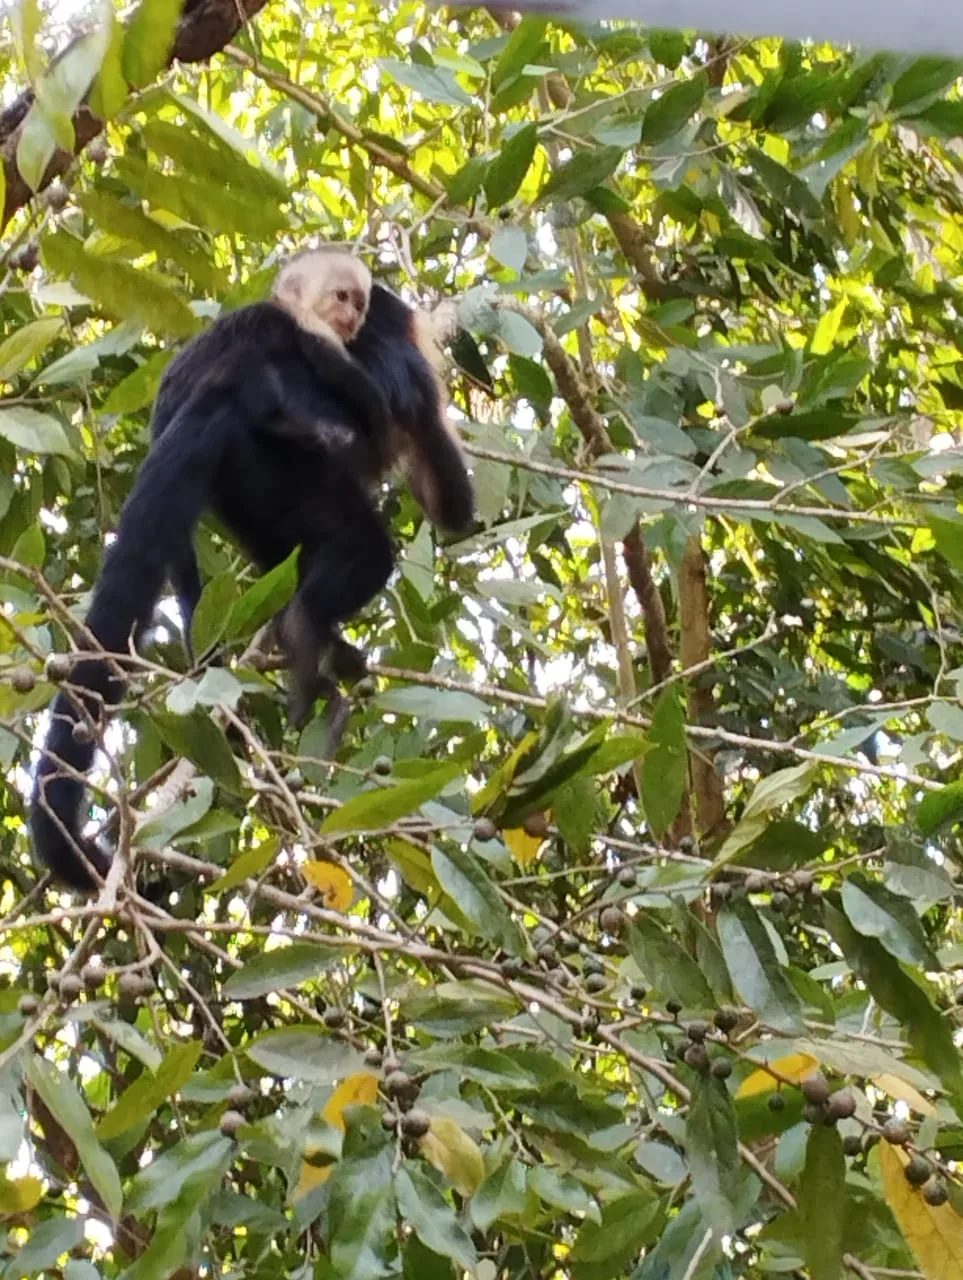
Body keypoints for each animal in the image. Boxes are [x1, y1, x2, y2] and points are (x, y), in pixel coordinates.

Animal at [30, 247, 474, 893]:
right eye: (345, 298)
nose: (354, 314)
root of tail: (215, 404)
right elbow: (438, 476)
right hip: (280, 466)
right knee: (363, 542)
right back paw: (309, 627)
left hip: (249, 490)